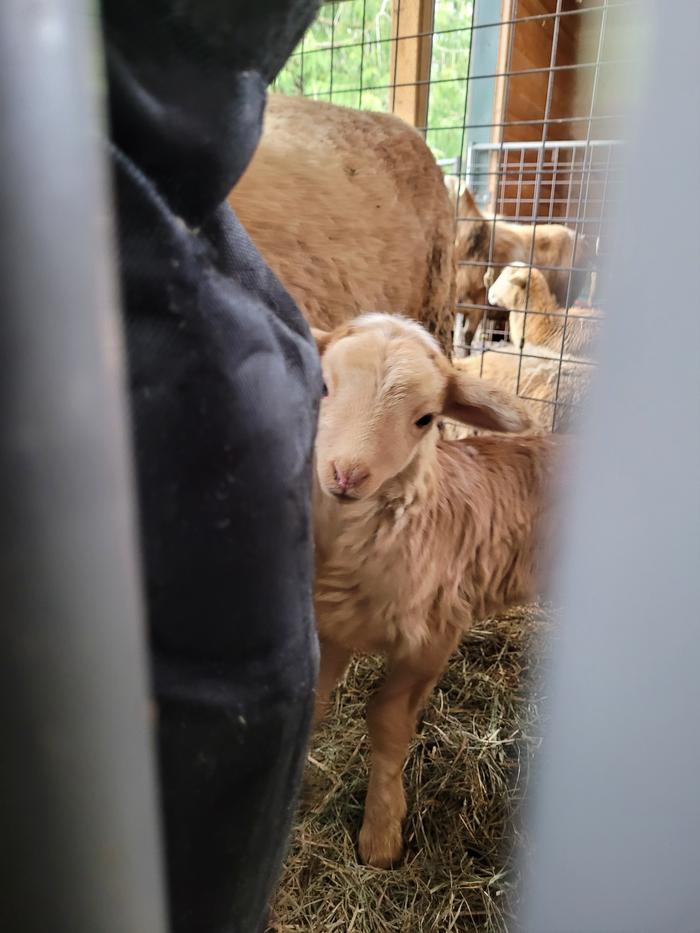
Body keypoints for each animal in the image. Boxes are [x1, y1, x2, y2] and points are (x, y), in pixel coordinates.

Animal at [312, 312, 556, 868]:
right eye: (323, 386)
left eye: (425, 419)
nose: (346, 475)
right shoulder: (331, 626)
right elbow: (311, 704)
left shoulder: (434, 637)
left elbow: (386, 722)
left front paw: (381, 836)